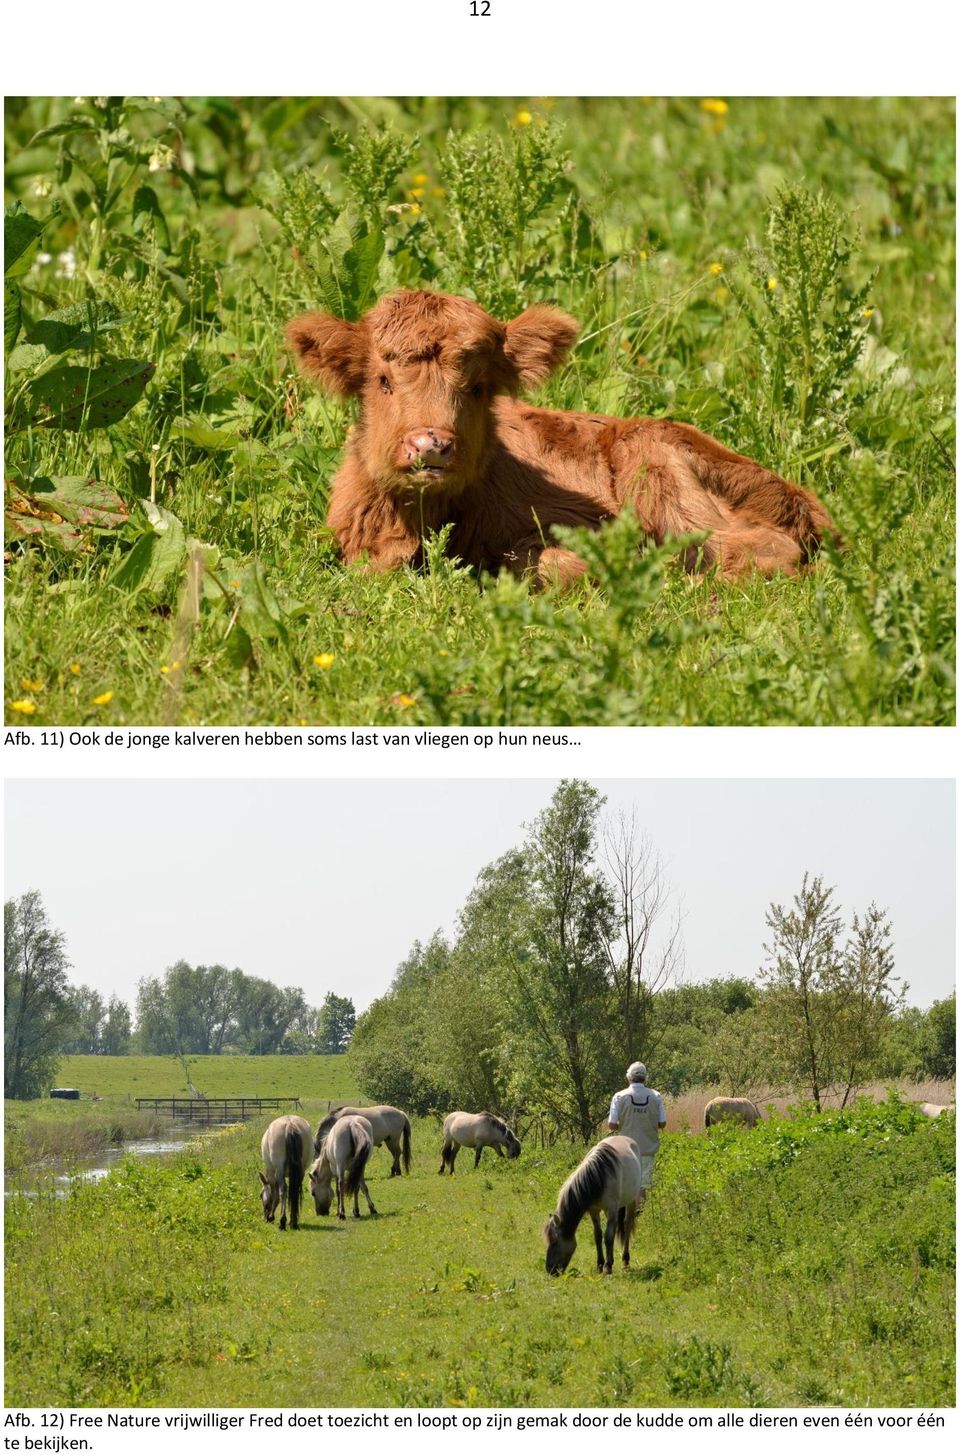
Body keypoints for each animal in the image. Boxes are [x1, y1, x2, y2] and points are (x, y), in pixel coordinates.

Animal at [285, 289, 832, 584]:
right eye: (382, 381)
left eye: (477, 387)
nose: (430, 447)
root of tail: (802, 500)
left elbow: (550, 562)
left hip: (656, 469)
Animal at [544, 1134, 640, 1274]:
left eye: (555, 1241)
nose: (550, 1270)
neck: (598, 1176)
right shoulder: (593, 1210)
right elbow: (598, 1235)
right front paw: (600, 1264)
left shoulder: (611, 1208)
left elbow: (608, 1237)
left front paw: (608, 1267)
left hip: (631, 1201)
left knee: (627, 1225)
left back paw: (625, 1260)